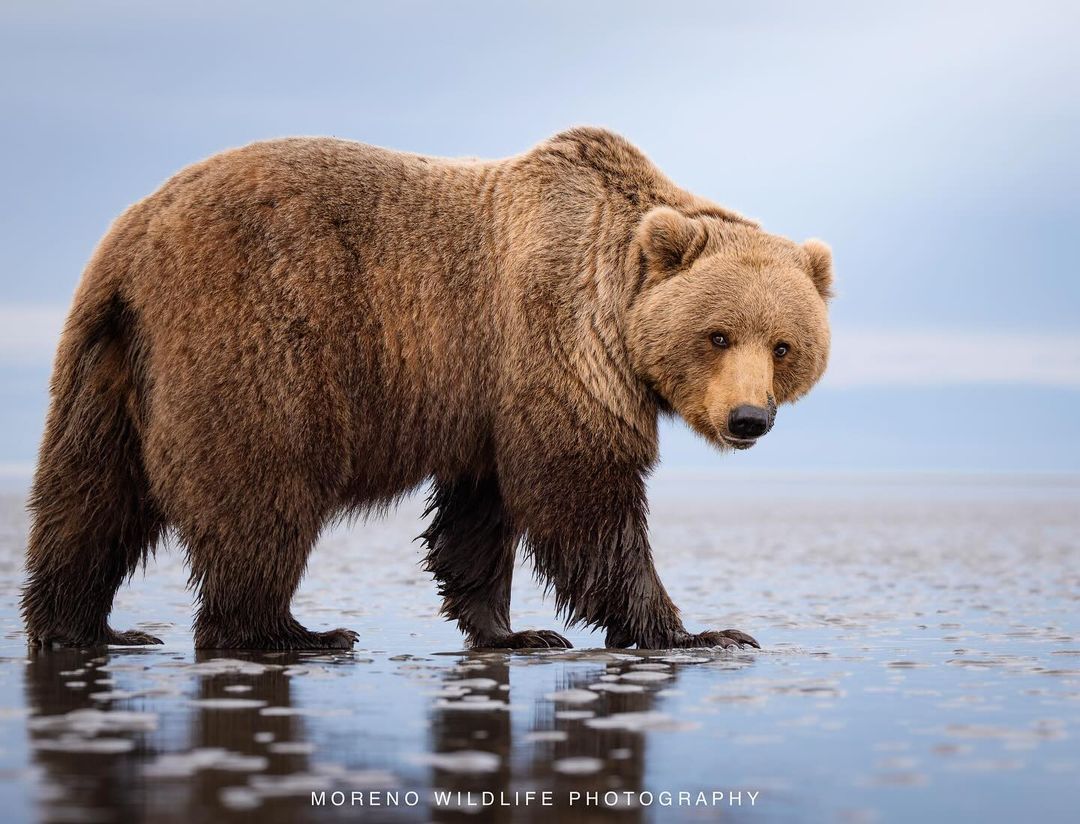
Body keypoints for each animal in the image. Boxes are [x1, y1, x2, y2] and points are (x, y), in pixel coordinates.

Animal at [23, 127, 833, 652]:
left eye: (784, 345)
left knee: (90, 497)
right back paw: (289, 631)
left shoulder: (485, 395)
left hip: (107, 365)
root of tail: (131, 241)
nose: (748, 418)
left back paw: (86, 626)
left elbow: (481, 511)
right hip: (252, 339)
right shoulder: (553, 341)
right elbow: (581, 495)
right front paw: (700, 632)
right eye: (718, 335)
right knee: (261, 493)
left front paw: (512, 630)